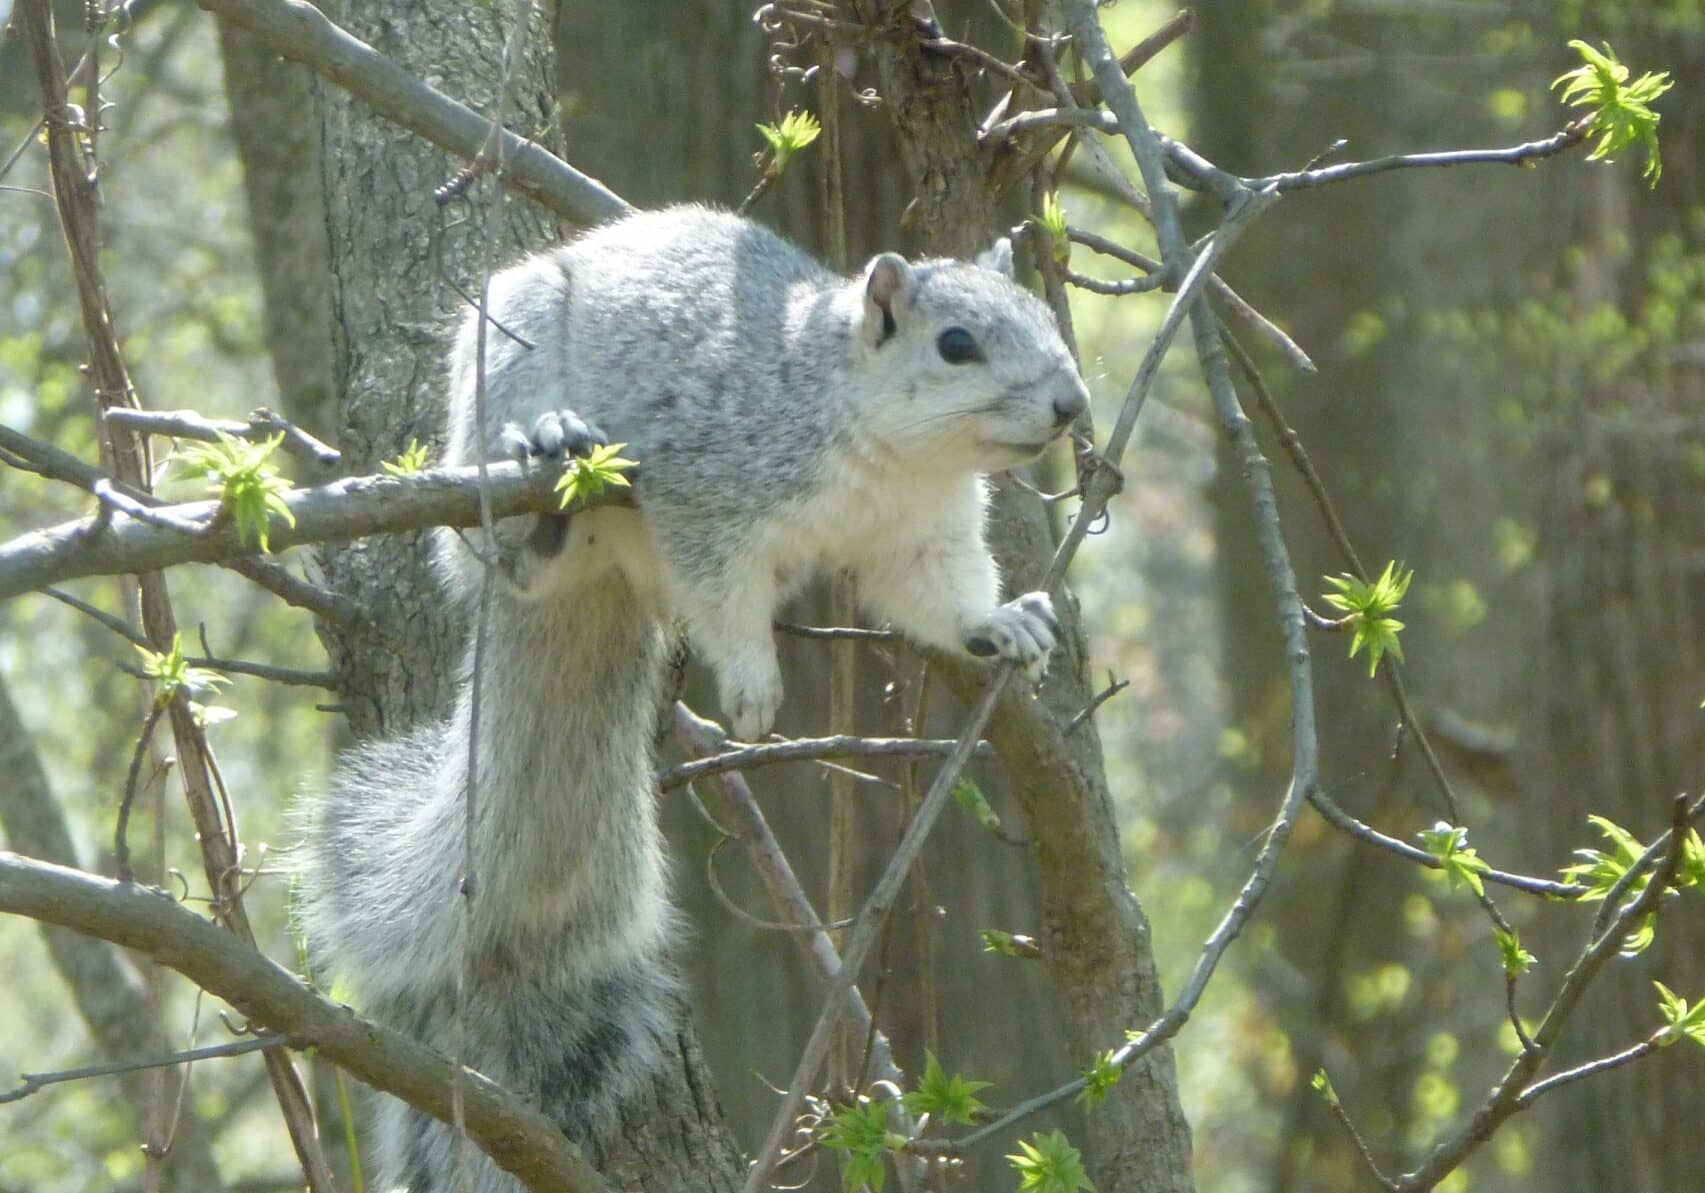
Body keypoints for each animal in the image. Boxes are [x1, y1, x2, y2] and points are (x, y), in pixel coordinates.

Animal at [297, 205, 1089, 1192]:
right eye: (955, 344)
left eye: (1045, 314)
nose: (1072, 405)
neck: (881, 447)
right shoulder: (708, 493)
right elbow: (722, 596)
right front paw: (752, 685)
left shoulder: (919, 534)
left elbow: (940, 598)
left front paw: (1001, 624)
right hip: (498, 389)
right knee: (499, 555)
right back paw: (545, 476)